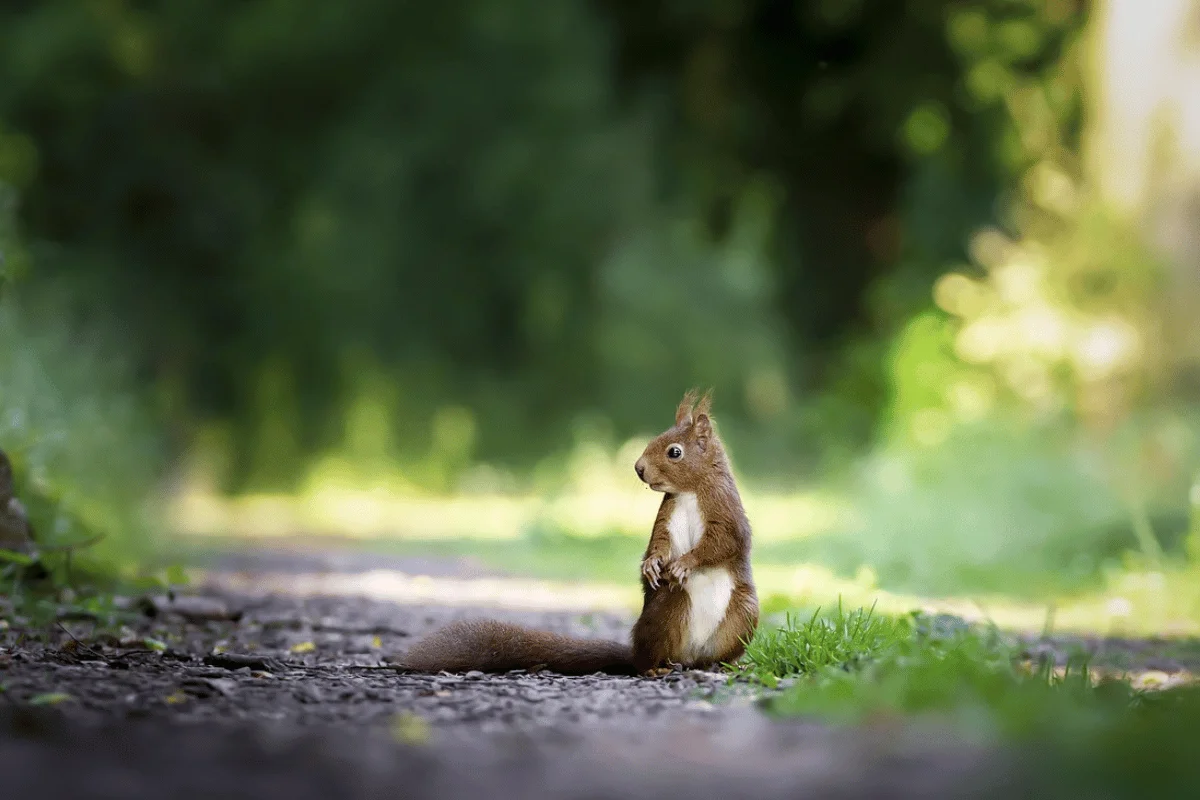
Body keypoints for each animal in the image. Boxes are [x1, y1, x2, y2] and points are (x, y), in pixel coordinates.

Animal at [396, 389, 759, 676]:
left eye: (674, 451)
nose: (639, 468)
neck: (689, 492)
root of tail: (689, 656)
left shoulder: (726, 512)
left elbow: (722, 543)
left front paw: (684, 563)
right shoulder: (666, 517)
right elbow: (659, 543)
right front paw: (651, 565)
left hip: (743, 615)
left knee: (713, 653)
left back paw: (724, 664)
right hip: (668, 610)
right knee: (648, 658)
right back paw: (656, 668)